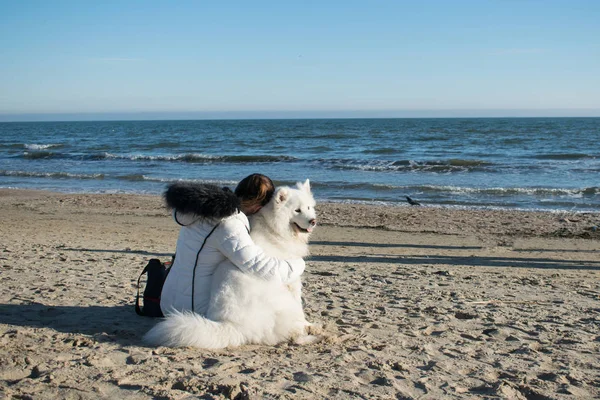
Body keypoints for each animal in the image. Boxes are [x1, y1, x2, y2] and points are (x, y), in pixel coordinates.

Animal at [144, 180, 318, 348]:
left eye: (308, 207)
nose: (313, 221)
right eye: (297, 210)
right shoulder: (292, 282)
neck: (274, 229)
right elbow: (299, 303)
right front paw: (308, 323)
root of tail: (232, 325)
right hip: (283, 301)